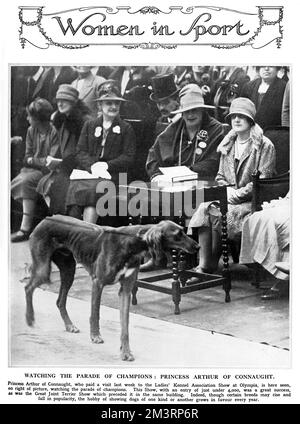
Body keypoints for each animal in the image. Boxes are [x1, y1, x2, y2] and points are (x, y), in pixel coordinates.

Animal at [24, 215, 199, 362]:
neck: (132, 243)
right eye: (178, 234)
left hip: (68, 271)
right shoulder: (98, 283)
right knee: (28, 288)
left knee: (60, 301)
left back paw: (69, 326)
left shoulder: (126, 291)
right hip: (43, 269)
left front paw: (125, 352)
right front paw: (95, 336)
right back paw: (30, 318)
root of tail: (45, 219)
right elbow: (95, 314)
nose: (197, 247)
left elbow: (125, 326)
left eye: (184, 231)